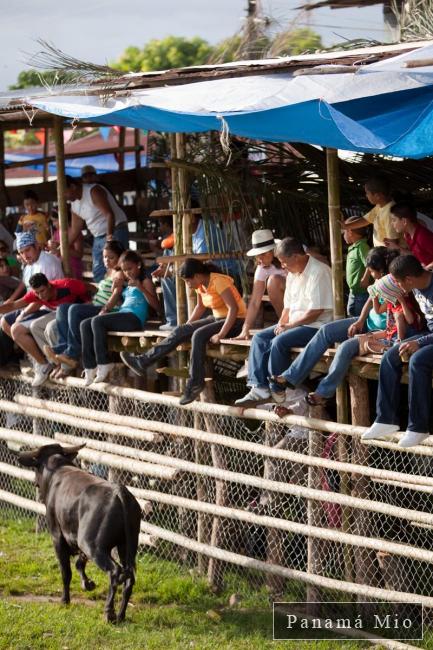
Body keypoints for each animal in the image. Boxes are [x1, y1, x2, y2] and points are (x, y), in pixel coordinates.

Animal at [18, 442, 140, 620]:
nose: (36, 483)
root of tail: (119, 492)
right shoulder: (77, 538)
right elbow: (79, 563)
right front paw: (88, 584)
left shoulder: (57, 536)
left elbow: (66, 571)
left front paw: (64, 600)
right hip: (126, 547)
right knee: (129, 578)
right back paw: (120, 615)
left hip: (93, 545)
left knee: (115, 572)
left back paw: (109, 613)